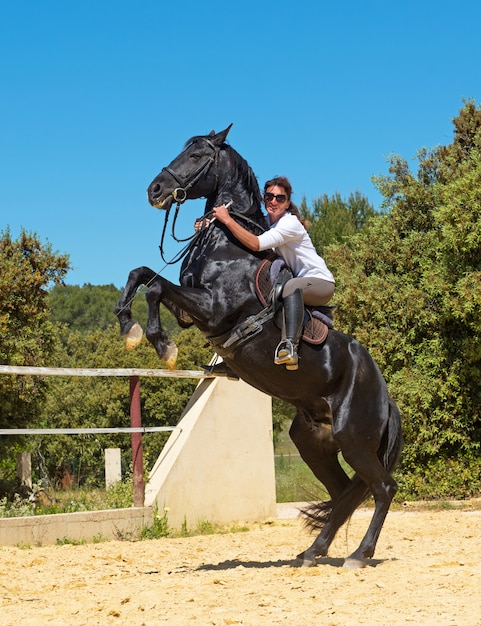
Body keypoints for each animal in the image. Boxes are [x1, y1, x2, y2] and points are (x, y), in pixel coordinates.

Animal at [115, 124, 402, 568]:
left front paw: (163, 346)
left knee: (382, 489)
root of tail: (385, 395)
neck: (227, 244)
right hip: (312, 441)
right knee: (343, 495)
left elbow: (157, 288)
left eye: (196, 155)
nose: (155, 189)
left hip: (352, 437)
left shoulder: (213, 309)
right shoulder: (191, 310)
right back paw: (311, 552)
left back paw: (359, 554)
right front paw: (127, 325)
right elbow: (143, 274)